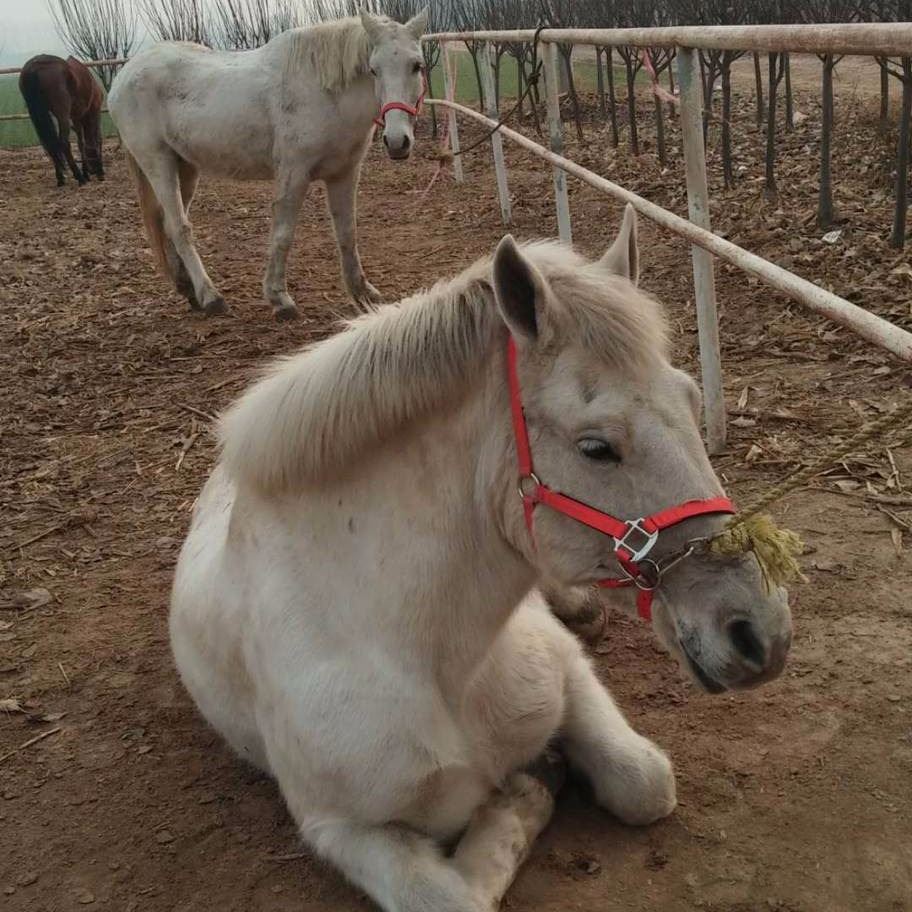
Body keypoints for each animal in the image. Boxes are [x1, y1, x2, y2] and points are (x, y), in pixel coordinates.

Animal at [19, 54, 105, 187]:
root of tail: (34, 67)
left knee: (51, 144)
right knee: (63, 142)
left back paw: (61, 178)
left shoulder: (76, 117)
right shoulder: (93, 112)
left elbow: (81, 143)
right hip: (62, 114)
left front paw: (86, 172)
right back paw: (79, 177)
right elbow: (96, 139)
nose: (96, 171)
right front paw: (89, 173)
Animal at [108, 11, 428, 320]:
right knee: (179, 227)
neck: (324, 92)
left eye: (417, 65)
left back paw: (188, 291)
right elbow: (283, 234)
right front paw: (279, 299)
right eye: (374, 69)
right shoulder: (294, 174)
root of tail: (122, 77)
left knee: (166, 223)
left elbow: (347, 232)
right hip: (157, 162)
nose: (397, 141)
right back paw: (211, 297)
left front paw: (362, 292)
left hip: (184, 166)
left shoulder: (344, 174)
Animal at [171, 207, 792, 912]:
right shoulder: (337, 827)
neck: (429, 655)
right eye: (596, 447)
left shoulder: (568, 673)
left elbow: (645, 784)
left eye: (691, 401)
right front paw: (524, 791)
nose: (760, 633)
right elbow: (451, 897)